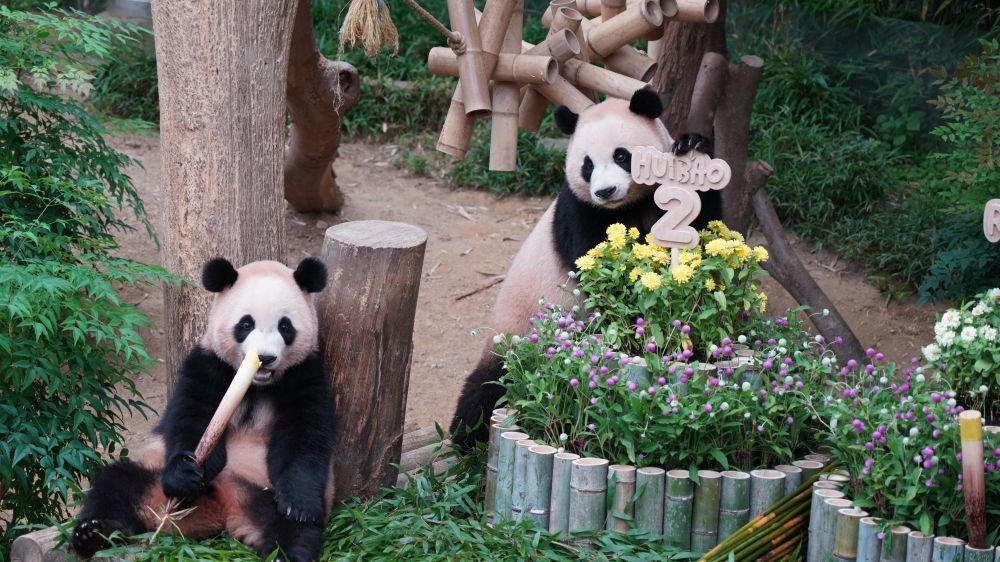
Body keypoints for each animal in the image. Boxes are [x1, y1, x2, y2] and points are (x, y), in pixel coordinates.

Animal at [72, 257, 335, 562]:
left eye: (285, 327)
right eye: (246, 324)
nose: (265, 358)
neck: (257, 385)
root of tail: (222, 506)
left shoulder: (305, 374)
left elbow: (306, 434)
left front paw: (298, 504)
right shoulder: (208, 364)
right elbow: (191, 416)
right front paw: (186, 474)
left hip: (263, 492)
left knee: (293, 529)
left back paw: (284, 553)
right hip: (153, 472)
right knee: (115, 484)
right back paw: (94, 533)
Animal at [449, 88, 721, 450]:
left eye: (622, 156)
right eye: (587, 165)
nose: (605, 191)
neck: (626, 204)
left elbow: (703, 227)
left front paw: (691, 145)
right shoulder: (578, 210)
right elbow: (591, 260)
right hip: (512, 338)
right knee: (487, 389)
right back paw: (466, 441)